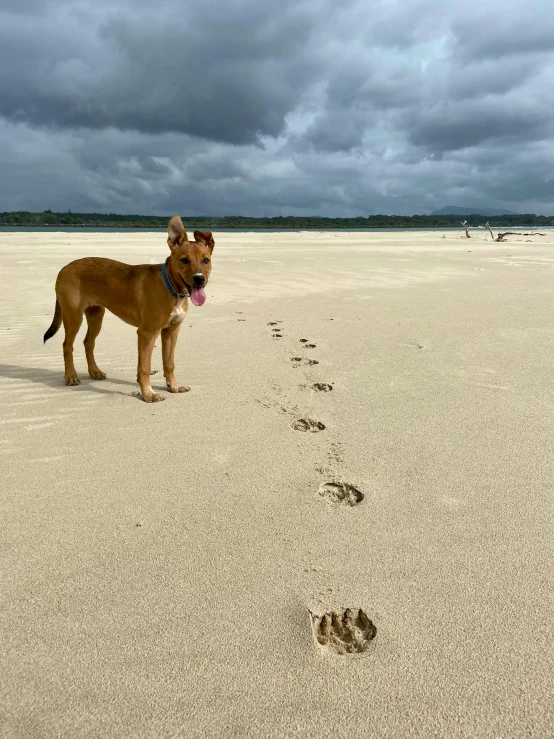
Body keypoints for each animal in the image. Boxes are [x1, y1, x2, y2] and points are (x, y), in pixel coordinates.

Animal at [43, 217, 213, 402]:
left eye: (206, 260)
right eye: (184, 260)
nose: (199, 279)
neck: (171, 288)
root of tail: (63, 268)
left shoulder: (171, 331)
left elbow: (169, 363)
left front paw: (173, 386)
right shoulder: (147, 333)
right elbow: (145, 367)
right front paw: (148, 394)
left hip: (96, 316)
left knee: (88, 342)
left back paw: (95, 372)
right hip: (73, 317)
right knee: (67, 346)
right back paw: (71, 376)